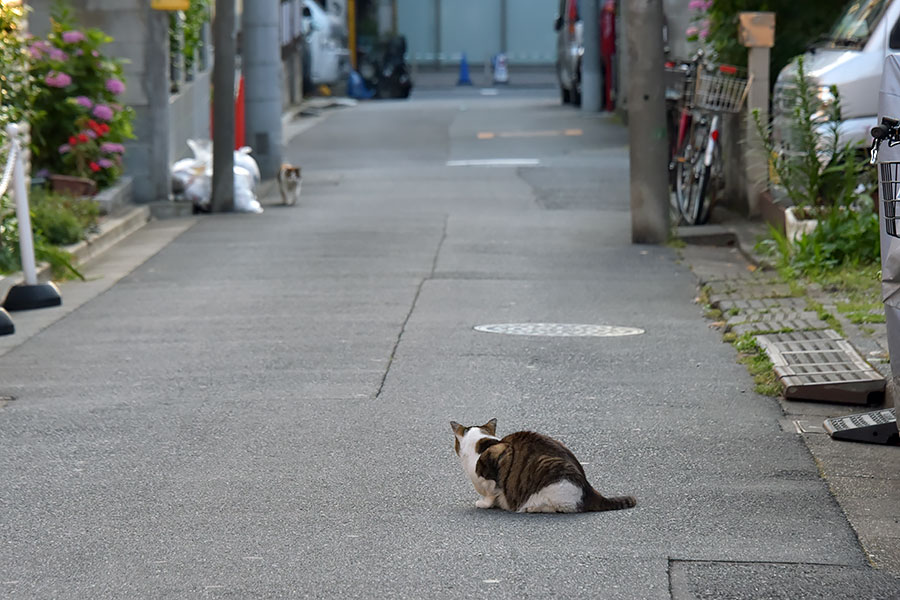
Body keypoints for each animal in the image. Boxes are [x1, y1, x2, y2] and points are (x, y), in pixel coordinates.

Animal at [448, 420, 632, 512]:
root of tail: (590, 490)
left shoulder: (494, 466)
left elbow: (491, 492)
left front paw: (485, 503)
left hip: (550, 476)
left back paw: (532, 508)